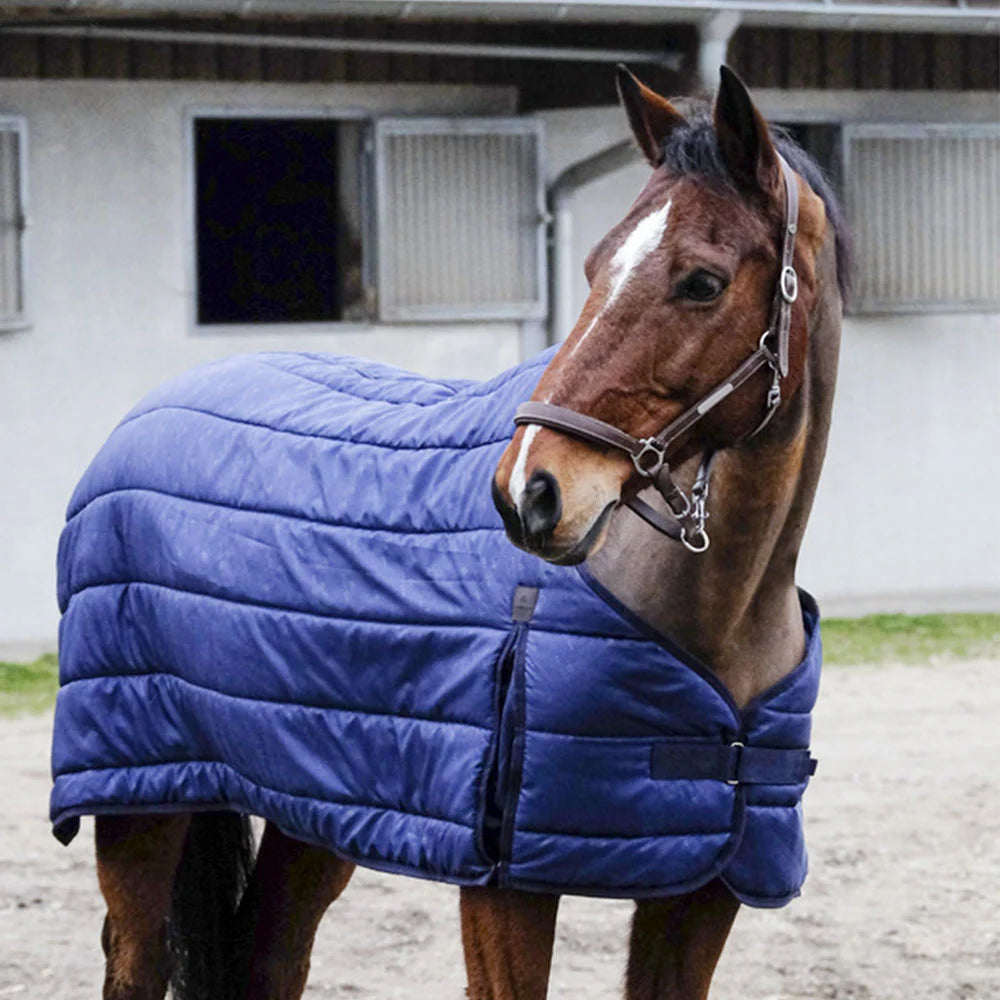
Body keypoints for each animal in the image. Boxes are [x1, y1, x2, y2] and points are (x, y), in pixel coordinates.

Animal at [50, 65, 847, 999]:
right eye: (594, 266)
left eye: (702, 282)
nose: (529, 492)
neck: (714, 621)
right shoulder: (506, 885)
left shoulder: (703, 888)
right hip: (141, 801)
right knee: (137, 960)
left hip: (319, 806)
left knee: (268, 954)